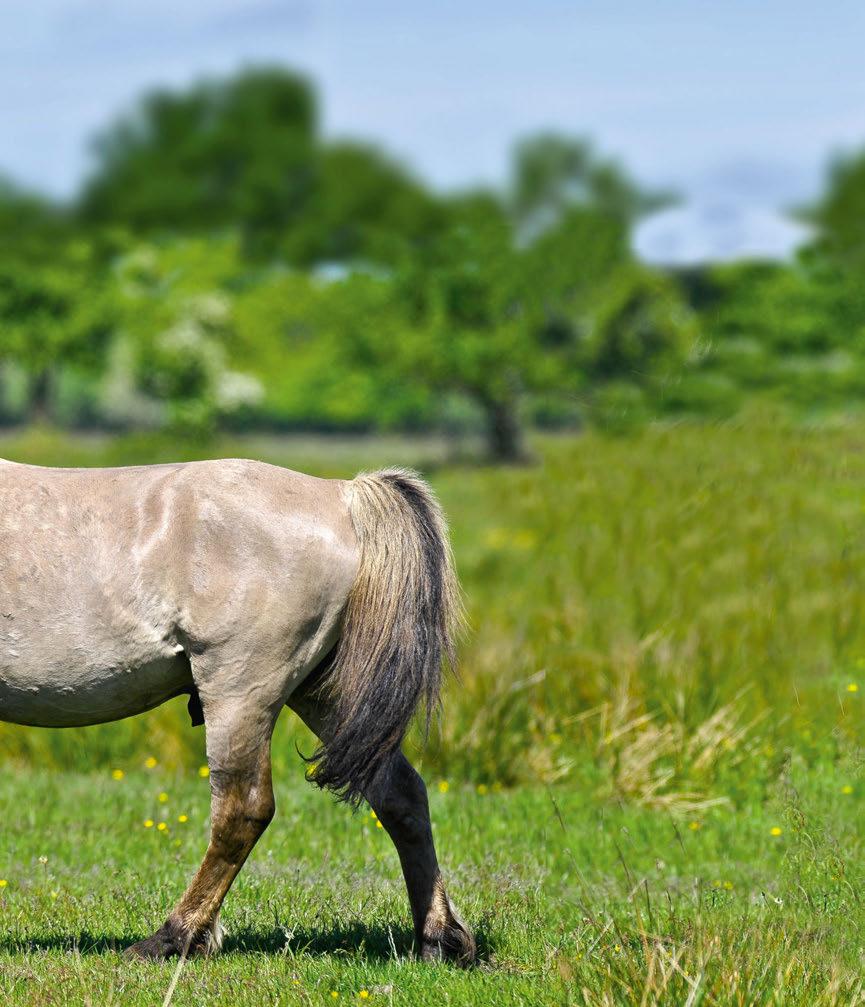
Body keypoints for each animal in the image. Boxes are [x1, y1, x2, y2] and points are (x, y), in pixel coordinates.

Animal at [0, 459, 473, 966]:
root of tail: (340, 495)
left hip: (240, 695)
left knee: (242, 812)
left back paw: (174, 937)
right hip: (321, 697)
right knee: (400, 794)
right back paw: (438, 938)